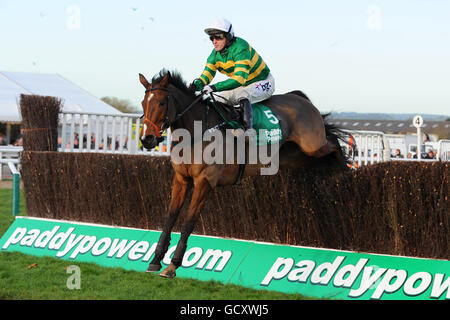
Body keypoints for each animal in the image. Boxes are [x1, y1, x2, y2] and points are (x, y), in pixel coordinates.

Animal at [139, 69, 350, 278]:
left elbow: (188, 222)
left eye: (162, 102)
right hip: (294, 155)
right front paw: (155, 260)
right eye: (143, 103)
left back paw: (344, 172)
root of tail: (299, 97)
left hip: (312, 144)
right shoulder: (181, 179)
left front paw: (173, 265)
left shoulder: (204, 181)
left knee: (333, 142)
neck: (196, 132)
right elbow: (170, 218)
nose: (147, 139)